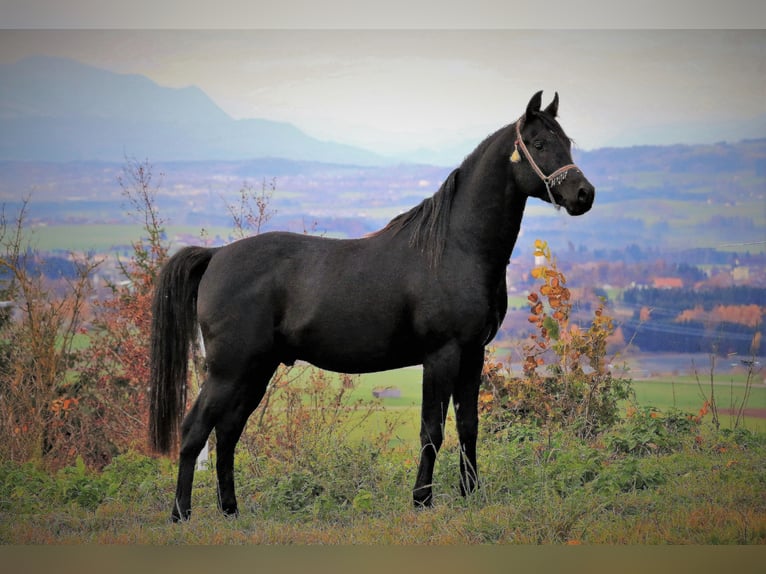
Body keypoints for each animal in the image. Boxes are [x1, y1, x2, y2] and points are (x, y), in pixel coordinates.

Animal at [149, 91, 595, 522]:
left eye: (567, 142)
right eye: (539, 143)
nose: (583, 194)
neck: (457, 247)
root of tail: (216, 255)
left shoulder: (473, 354)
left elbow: (469, 426)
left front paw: (471, 496)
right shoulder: (442, 355)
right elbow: (432, 430)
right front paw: (422, 501)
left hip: (256, 369)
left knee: (227, 434)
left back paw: (230, 510)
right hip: (229, 370)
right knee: (195, 431)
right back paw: (181, 513)